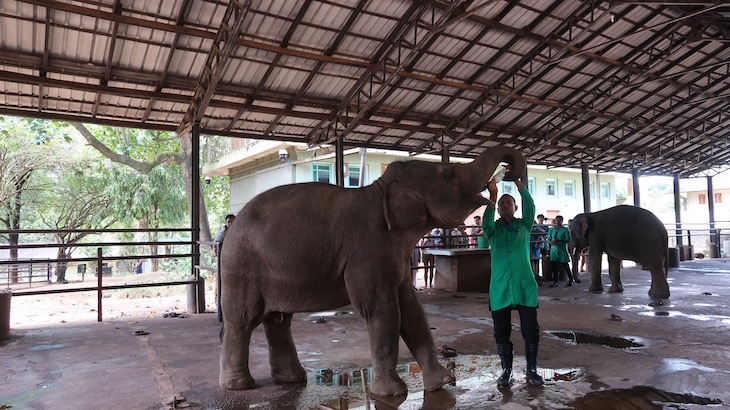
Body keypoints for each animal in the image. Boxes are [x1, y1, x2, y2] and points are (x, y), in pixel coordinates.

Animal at [216, 145, 524, 398]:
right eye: (448, 173)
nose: (508, 174)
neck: (380, 190)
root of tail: (232, 226)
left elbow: (412, 310)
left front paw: (442, 383)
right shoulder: (368, 250)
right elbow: (382, 309)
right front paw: (392, 394)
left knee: (278, 321)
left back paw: (292, 380)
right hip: (241, 267)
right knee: (243, 320)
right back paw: (240, 386)